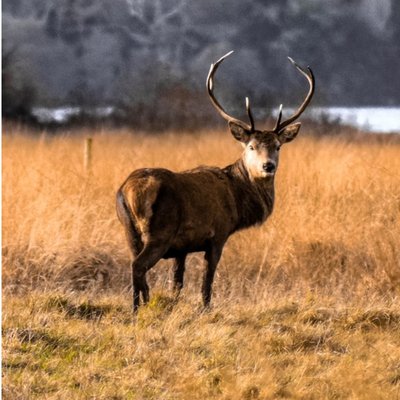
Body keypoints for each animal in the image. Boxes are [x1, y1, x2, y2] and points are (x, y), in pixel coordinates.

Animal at [117, 50, 314, 312]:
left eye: (278, 146)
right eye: (251, 146)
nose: (268, 166)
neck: (238, 203)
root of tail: (129, 191)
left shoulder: (182, 247)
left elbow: (177, 282)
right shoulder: (218, 234)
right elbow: (207, 281)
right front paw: (205, 308)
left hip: (129, 230)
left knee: (135, 266)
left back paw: (139, 306)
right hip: (160, 231)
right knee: (138, 266)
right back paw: (140, 307)